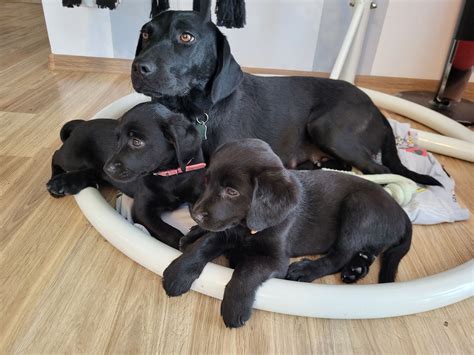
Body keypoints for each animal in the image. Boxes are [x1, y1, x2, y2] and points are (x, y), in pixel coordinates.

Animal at [47, 103, 205, 249]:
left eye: (136, 142)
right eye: (117, 139)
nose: (107, 169)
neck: (169, 176)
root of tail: (81, 124)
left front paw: (193, 237)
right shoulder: (142, 210)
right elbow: (168, 231)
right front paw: (183, 244)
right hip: (73, 158)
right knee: (56, 155)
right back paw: (55, 183)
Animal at [131, 1, 440, 186]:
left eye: (186, 37)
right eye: (145, 34)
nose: (138, 67)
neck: (197, 110)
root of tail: (378, 112)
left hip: (327, 127)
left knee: (381, 172)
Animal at [162, 139, 412, 328]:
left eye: (232, 191)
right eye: (207, 181)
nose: (195, 215)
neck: (250, 228)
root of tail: (400, 211)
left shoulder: (275, 259)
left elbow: (247, 270)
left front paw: (235, 306)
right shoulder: (228, 229)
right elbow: (204, 245)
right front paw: (178, 272)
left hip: (359, 207)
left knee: (340, 255)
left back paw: (306, 270)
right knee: (365, 252)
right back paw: (356, 269)